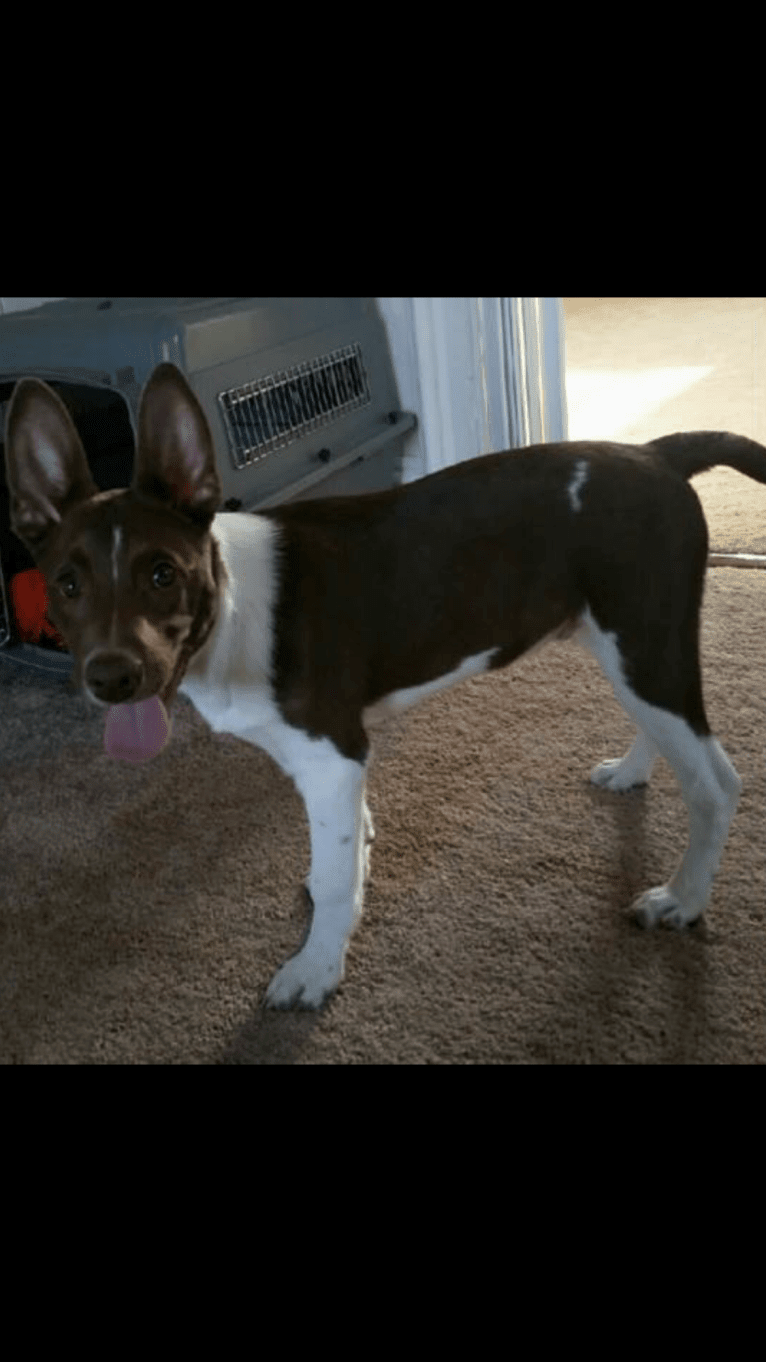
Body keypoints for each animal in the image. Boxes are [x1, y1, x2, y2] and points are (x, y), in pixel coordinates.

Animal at [5, 367, 763, 1007]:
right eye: (66, 585)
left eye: (163, 573)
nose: (112, 678)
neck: (232, 610)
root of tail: (657, 455)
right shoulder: (321, 759)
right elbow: (342, 855)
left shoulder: (331, 754)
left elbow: (336, 875)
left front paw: (316, 968)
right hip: (627, 647)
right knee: (666, 729)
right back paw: (634, 771)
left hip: (645, 641)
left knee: (716, 782)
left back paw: (683, 899)